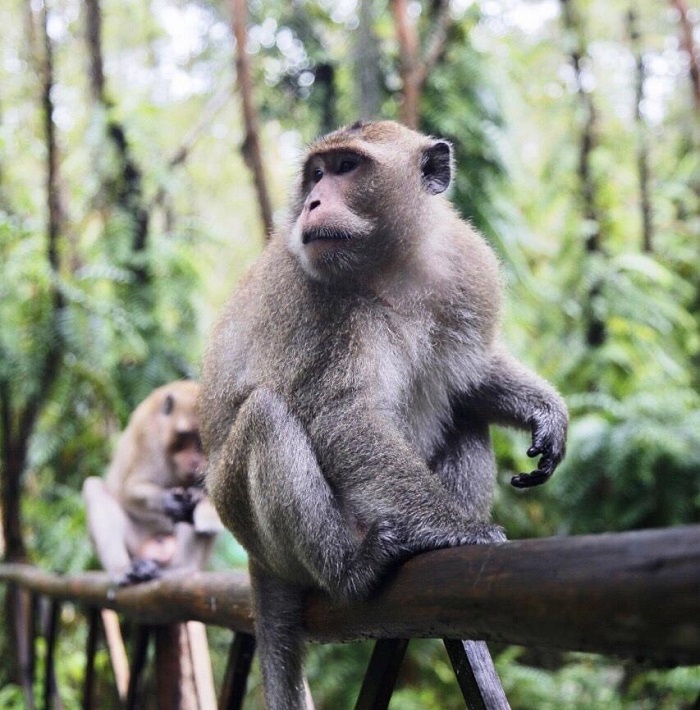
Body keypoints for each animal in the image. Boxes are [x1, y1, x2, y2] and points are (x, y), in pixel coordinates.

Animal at [83, 382, 223, 588]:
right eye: (185, 434)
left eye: (203, 440)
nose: (195, 461)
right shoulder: (145, 434)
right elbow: (127, 489)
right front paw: (167, 500)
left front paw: (198, 498)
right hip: (136, 541)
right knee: (94, 488)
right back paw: (123, 569)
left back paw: (182, 569)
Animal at [198, 119, 568, 708]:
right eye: (316, 174)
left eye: (346, 167)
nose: (313, 202)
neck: (394, 263)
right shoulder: (320, 301)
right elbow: (342, 417)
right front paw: (458, 530)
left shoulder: (469, 268)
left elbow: (472, 375)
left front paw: (545, 411)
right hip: (247, 517)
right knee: (265, 416)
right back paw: (352, 570)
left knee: (463, 415)